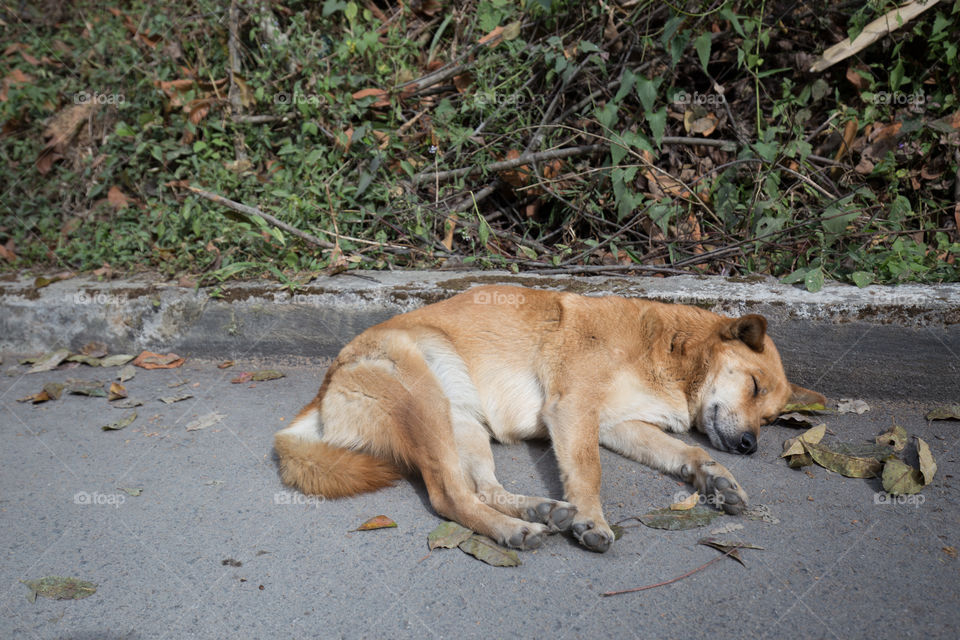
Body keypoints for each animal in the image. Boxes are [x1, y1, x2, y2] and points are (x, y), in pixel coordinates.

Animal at [274, 284, 820, 552]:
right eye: (754, 386)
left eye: (772, 417)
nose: (751, 445)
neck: (667, 350)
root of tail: (324, 389)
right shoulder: (574, 408)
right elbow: (587, 472)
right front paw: (592, 520)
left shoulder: (618, 426)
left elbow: (687, 451)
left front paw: (717, 478)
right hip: (424, 402)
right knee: (449, 495)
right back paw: (513, 530)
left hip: (464, 426)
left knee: (481, 488)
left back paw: (538, 511)